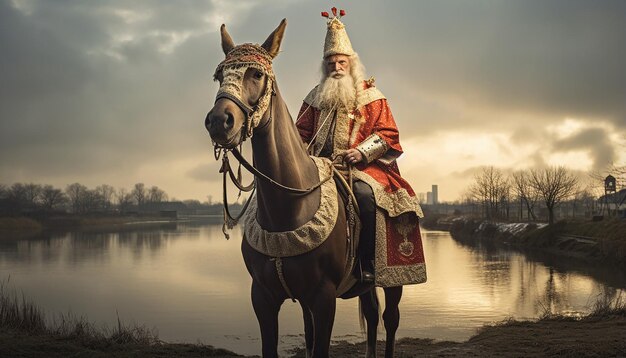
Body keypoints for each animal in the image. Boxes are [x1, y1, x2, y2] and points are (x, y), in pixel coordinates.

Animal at [202, 20, 402, 358]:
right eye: (219, 75)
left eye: (256, 74)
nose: (219, 121)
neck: (289, 206)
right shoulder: (264, 297)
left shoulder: (324, 299)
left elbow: (386, 133)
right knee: (372, 314)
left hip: (394, 280)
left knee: (390, 319)